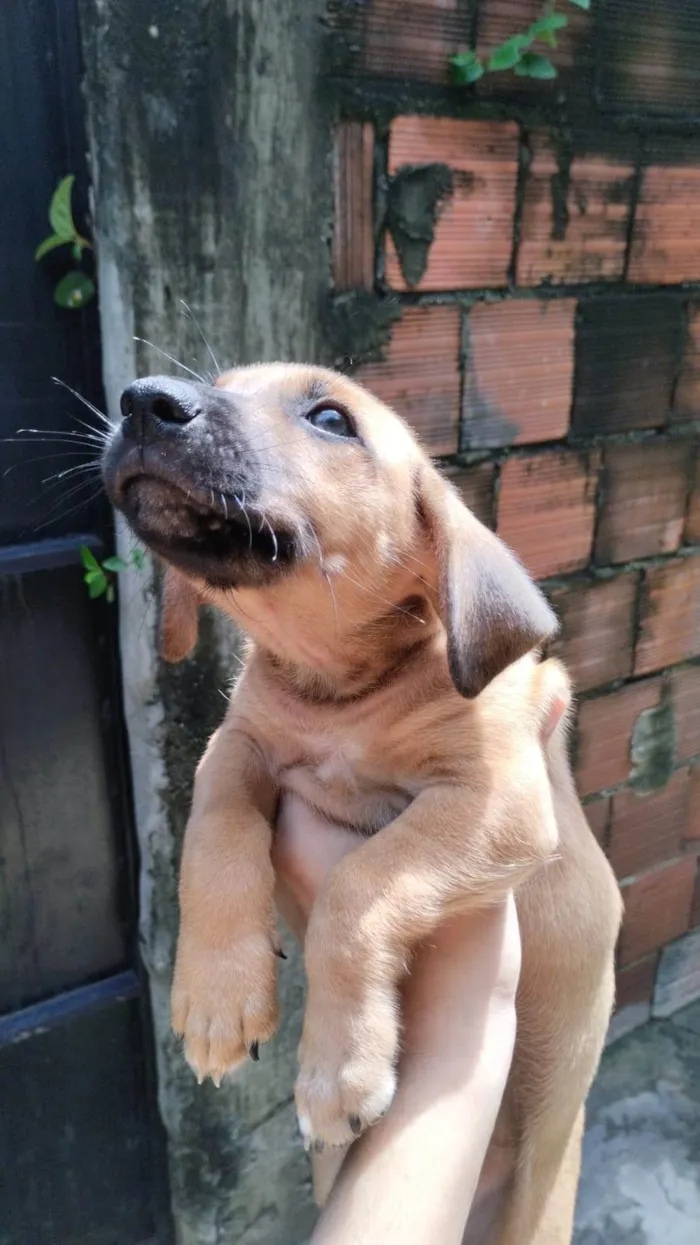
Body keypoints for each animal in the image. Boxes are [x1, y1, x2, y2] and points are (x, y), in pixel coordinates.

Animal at [100, 366, 617, 1245]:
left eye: (332, 419)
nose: (143, 399)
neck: (340, 692)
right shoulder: (237, 745)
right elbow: (214, 833)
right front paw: (217, 996)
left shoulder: (497, 802)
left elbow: (359, 889)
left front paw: (338, 1066)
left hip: (542, 1189)